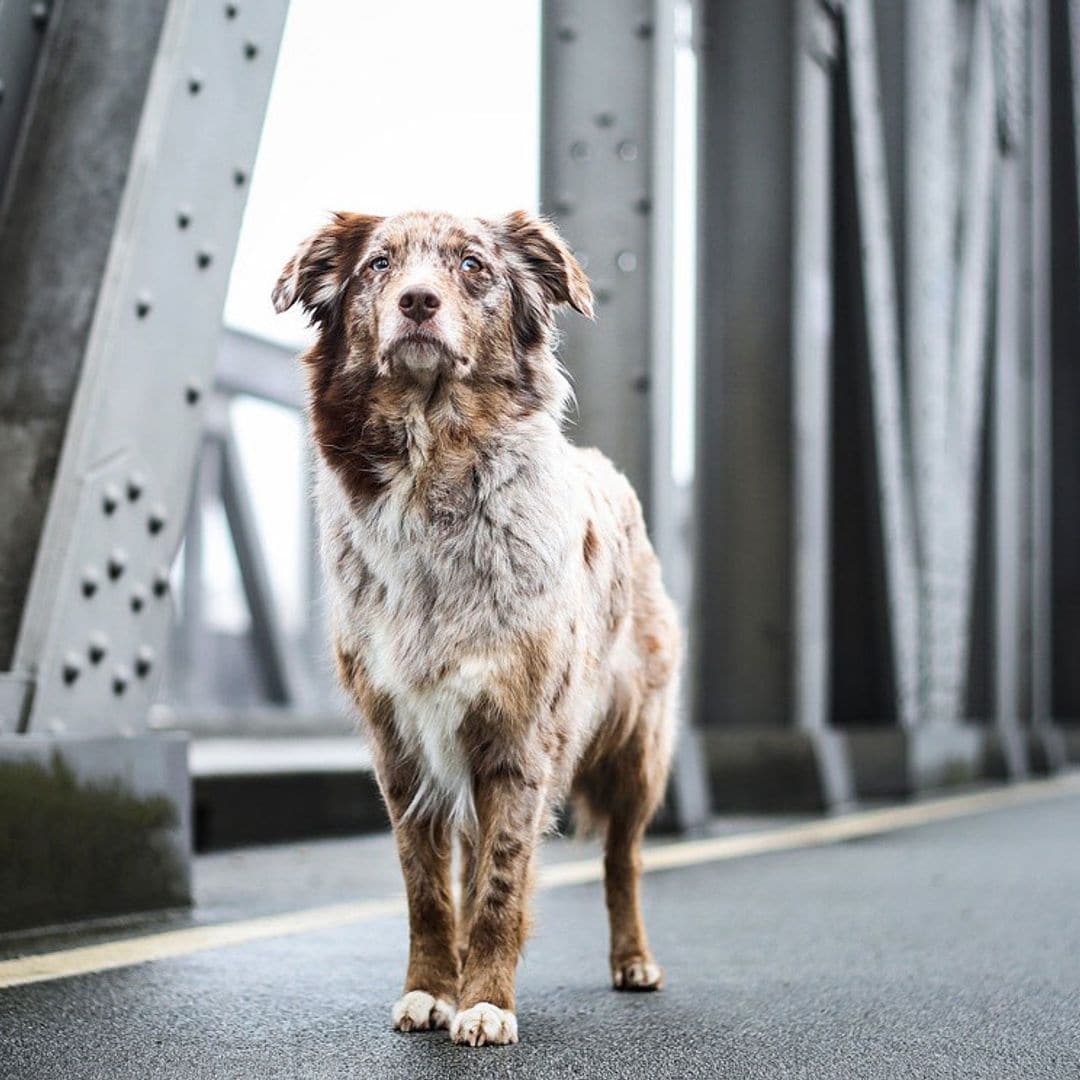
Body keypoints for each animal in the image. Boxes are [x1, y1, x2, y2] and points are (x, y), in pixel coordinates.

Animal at [274, 210, 678, 1045]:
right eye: (379, 265)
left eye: (473, 265)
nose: (417, 302)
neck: (432, 471)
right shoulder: (402, 744)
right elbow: (429, 890)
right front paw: (432, 990)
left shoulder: (519, 740)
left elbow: (499, 885)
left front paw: (486, 1001)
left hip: (637, 746)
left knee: (622, 859)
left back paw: (633, 961)